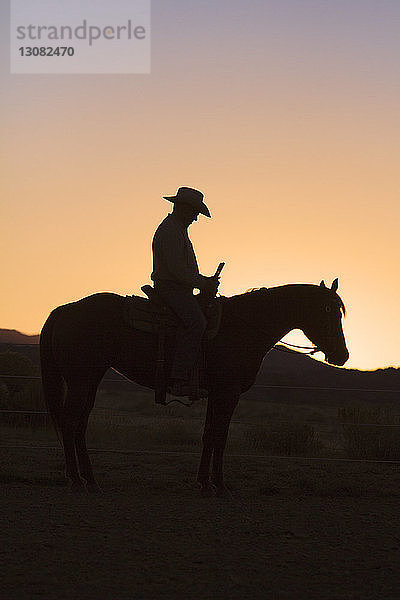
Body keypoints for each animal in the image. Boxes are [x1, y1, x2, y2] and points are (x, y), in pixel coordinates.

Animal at [39, 278, 348, 494]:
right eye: (328, 311)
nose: (342, 355)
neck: (244, 327)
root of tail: (64, 310)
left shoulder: (216, 394)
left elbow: (208, 435)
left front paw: (204, 483)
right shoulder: (228, 393)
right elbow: (220, 437)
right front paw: (220, 486)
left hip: (89, 380)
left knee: (80, 425)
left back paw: (90, 480)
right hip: (80, 381)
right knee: (69, 423)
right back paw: (76, 480)